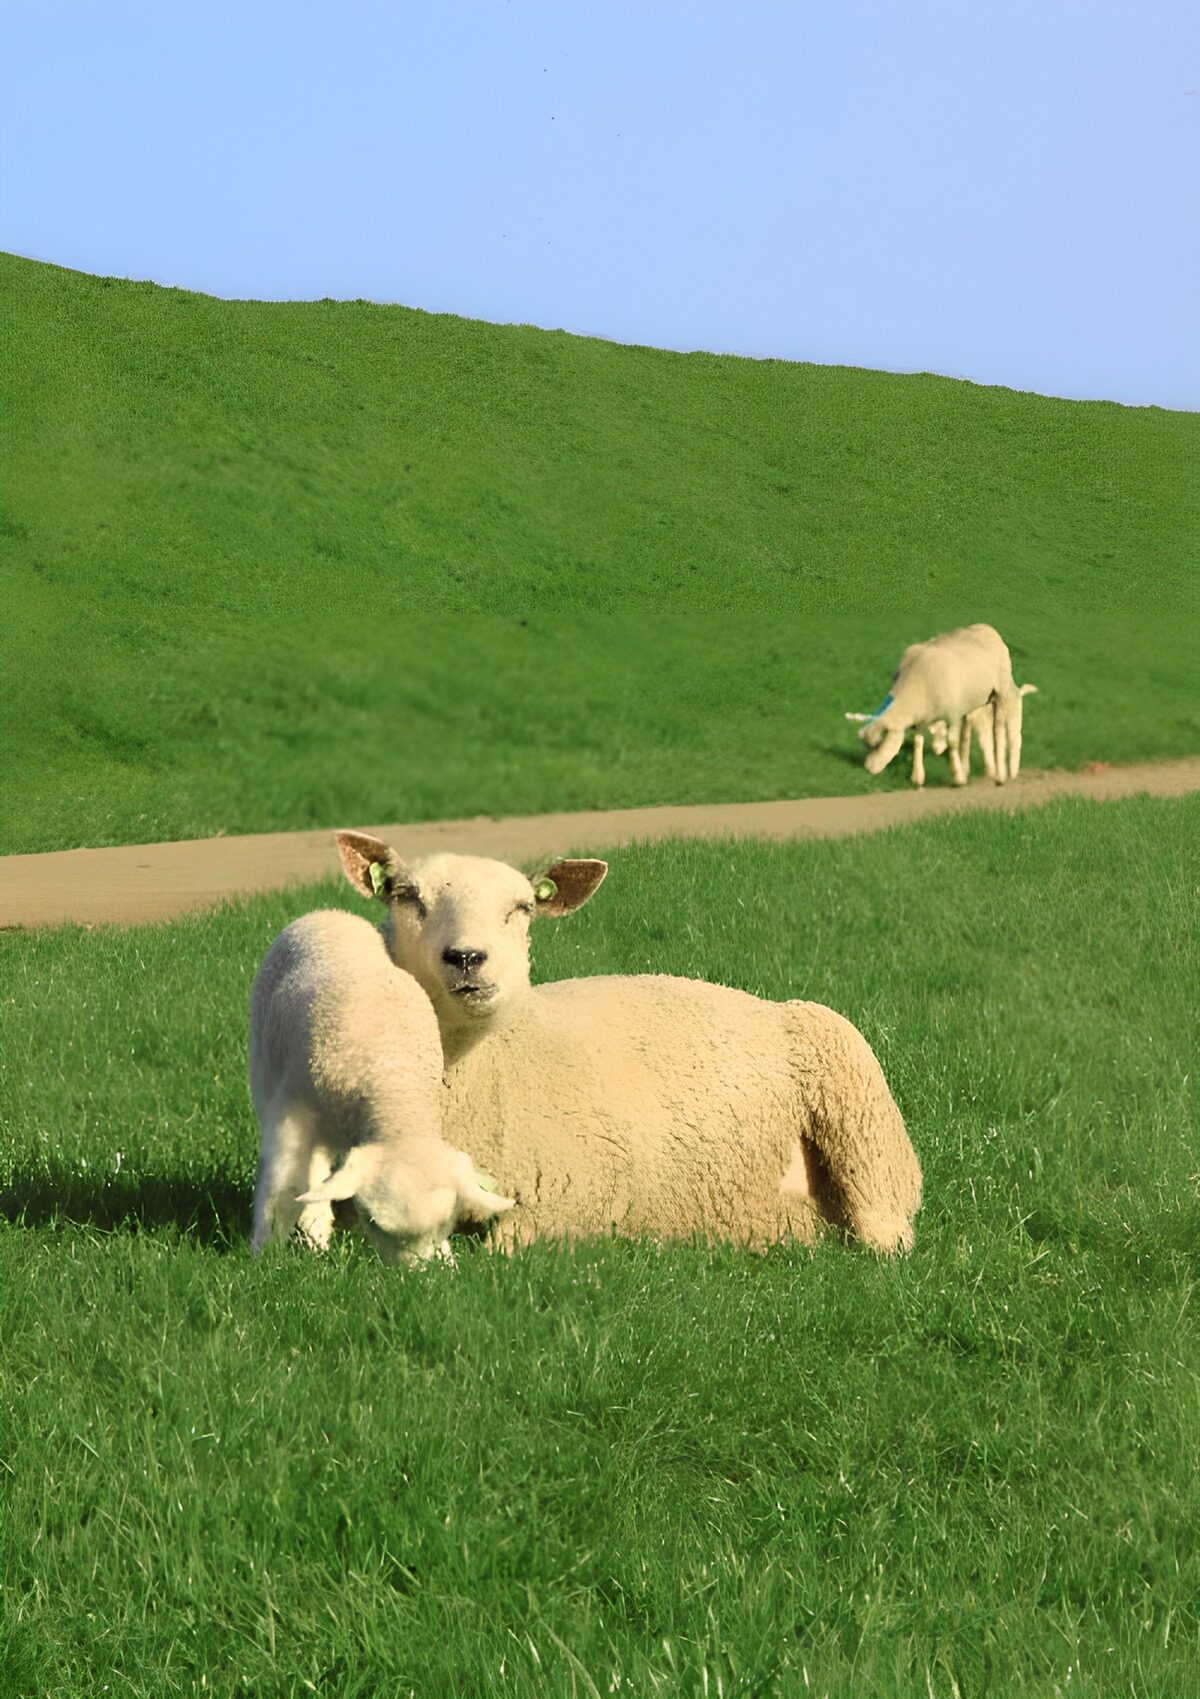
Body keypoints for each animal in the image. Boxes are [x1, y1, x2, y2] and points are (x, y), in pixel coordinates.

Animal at [248, 908, 513, 1263]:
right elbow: (283, 1188)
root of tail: (328, 913)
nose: (415, 1274)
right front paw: (264, 1252)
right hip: (265, 1070)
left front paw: (446, 1261)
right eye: (373, 1222)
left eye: (446, 1224)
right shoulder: (293, 1111)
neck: (392, 1077)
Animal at [334, 833, 923, 1255]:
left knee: (887, 1234)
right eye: (406, 896)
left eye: (522, 908)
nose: (466, 958)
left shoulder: (574, 1199)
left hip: (866, 1131)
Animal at [853, 624, 1026, 784]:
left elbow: (952, 741)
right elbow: (918, 741)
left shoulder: (953, 713)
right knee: (970, 728)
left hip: (1002, 689)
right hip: (977, 699)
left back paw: (1004, 772)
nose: (868, 768)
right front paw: (918, 777)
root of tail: (986, 627)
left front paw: (958, 777)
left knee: (1000, 728)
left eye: (878, 744)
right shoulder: (923, 716)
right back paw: (976, 767)